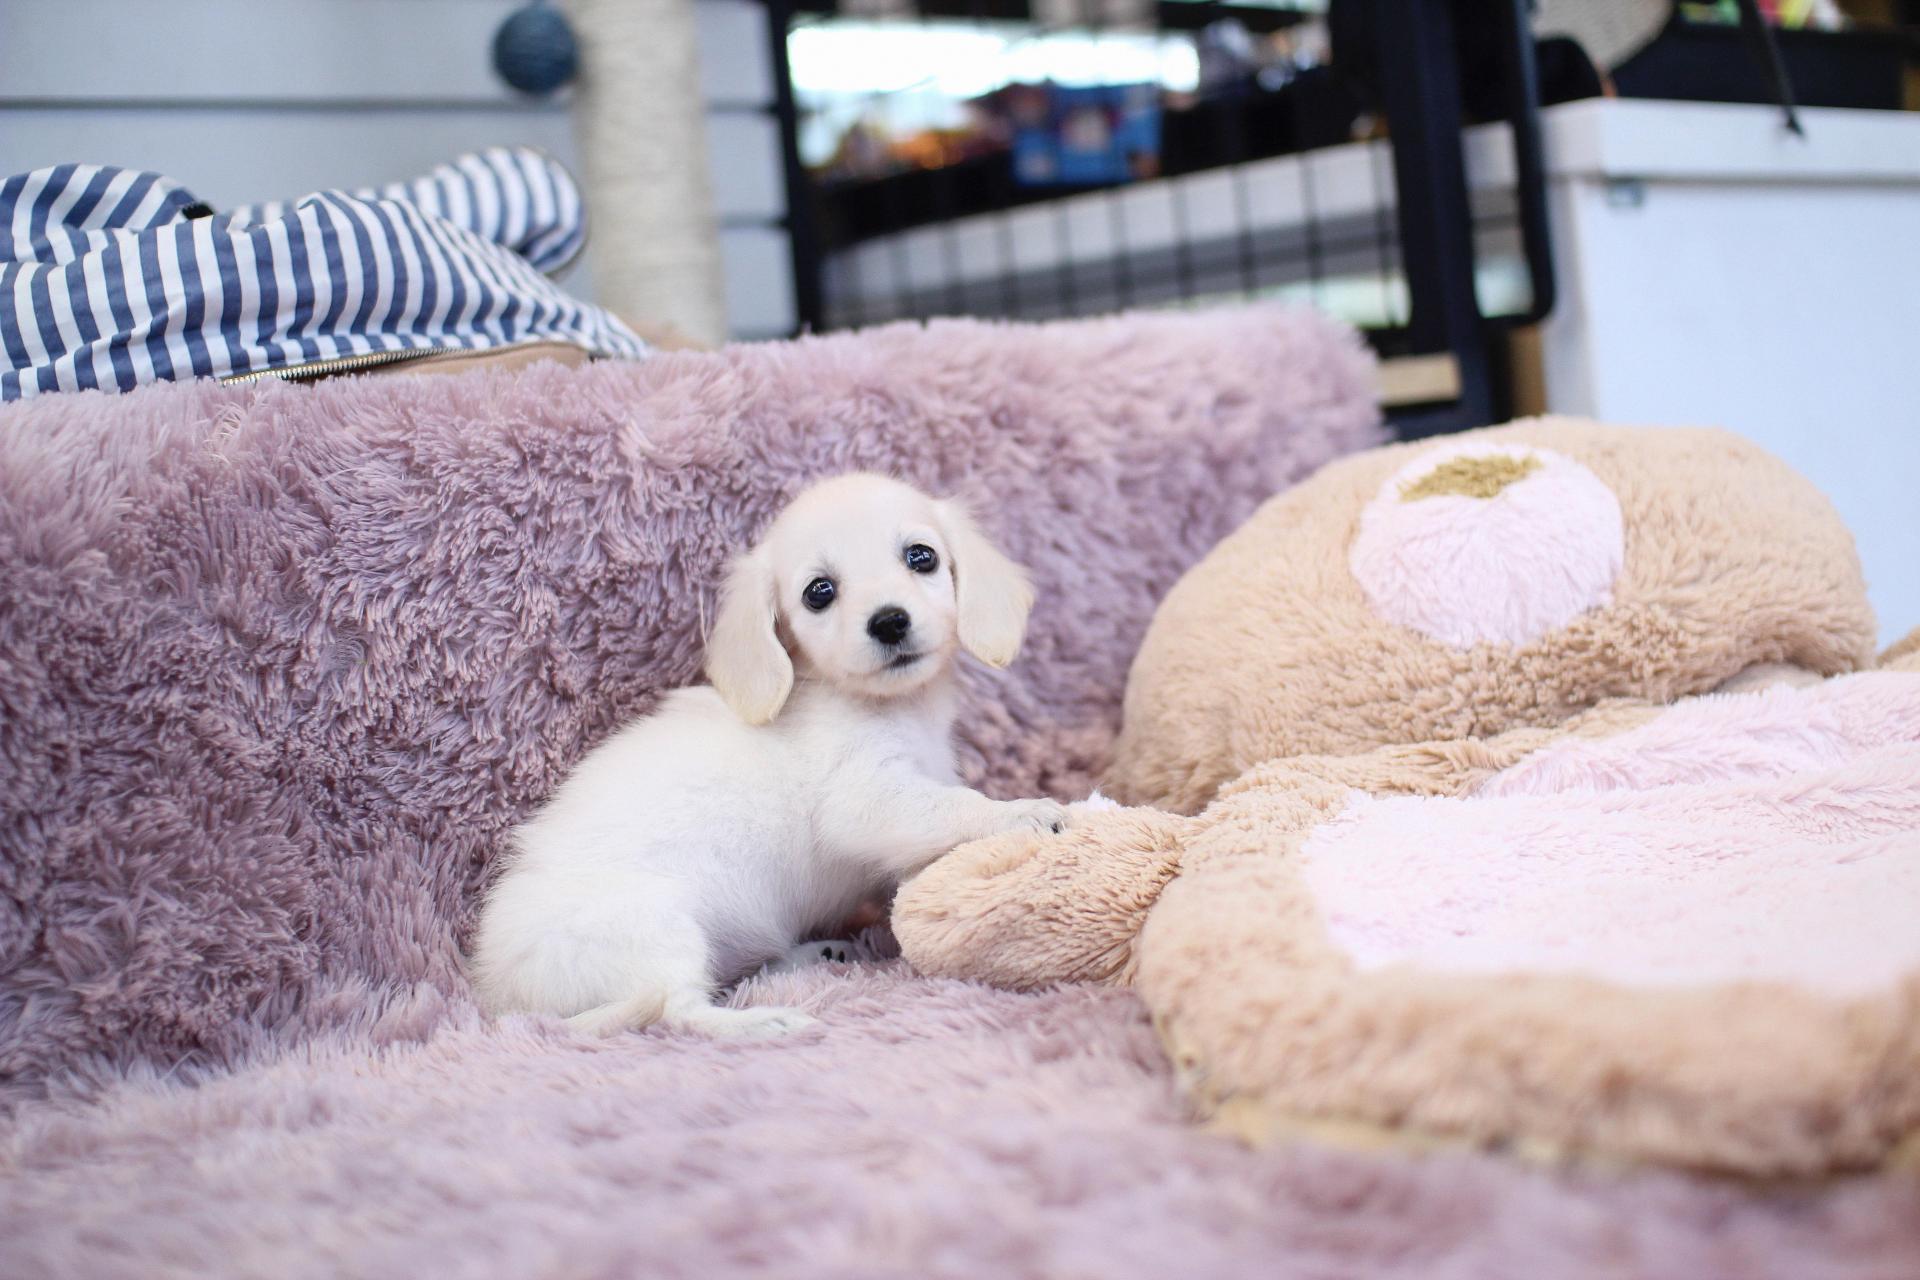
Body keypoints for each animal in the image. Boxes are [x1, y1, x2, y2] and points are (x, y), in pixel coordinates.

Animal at [468, 473, 1070, 1038]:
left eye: (921, 557)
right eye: (818, 592)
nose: (889, 621)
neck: (888, 706)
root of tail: (500, 996)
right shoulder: (866, 801)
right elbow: (957, 806)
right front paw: (1022, 812)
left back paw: (815, 954)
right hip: (658, 928)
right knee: (676, 1011)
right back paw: (766, 1023)